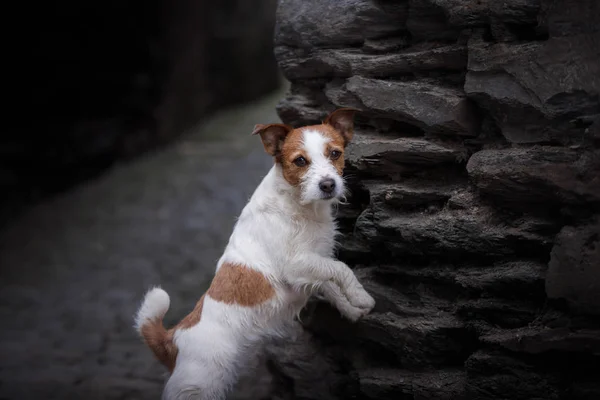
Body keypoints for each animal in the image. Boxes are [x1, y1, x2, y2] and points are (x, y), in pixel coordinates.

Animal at [135, 108, 376, 398]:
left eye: (335, 153)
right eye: (300, 161)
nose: (328, 185)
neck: (297, 204)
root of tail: (173, 339)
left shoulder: (311, 267)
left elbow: (330, 284)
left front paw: (351, 309)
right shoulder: (295, 265)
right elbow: (341, 269)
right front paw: (362, 297)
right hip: (199, 386)